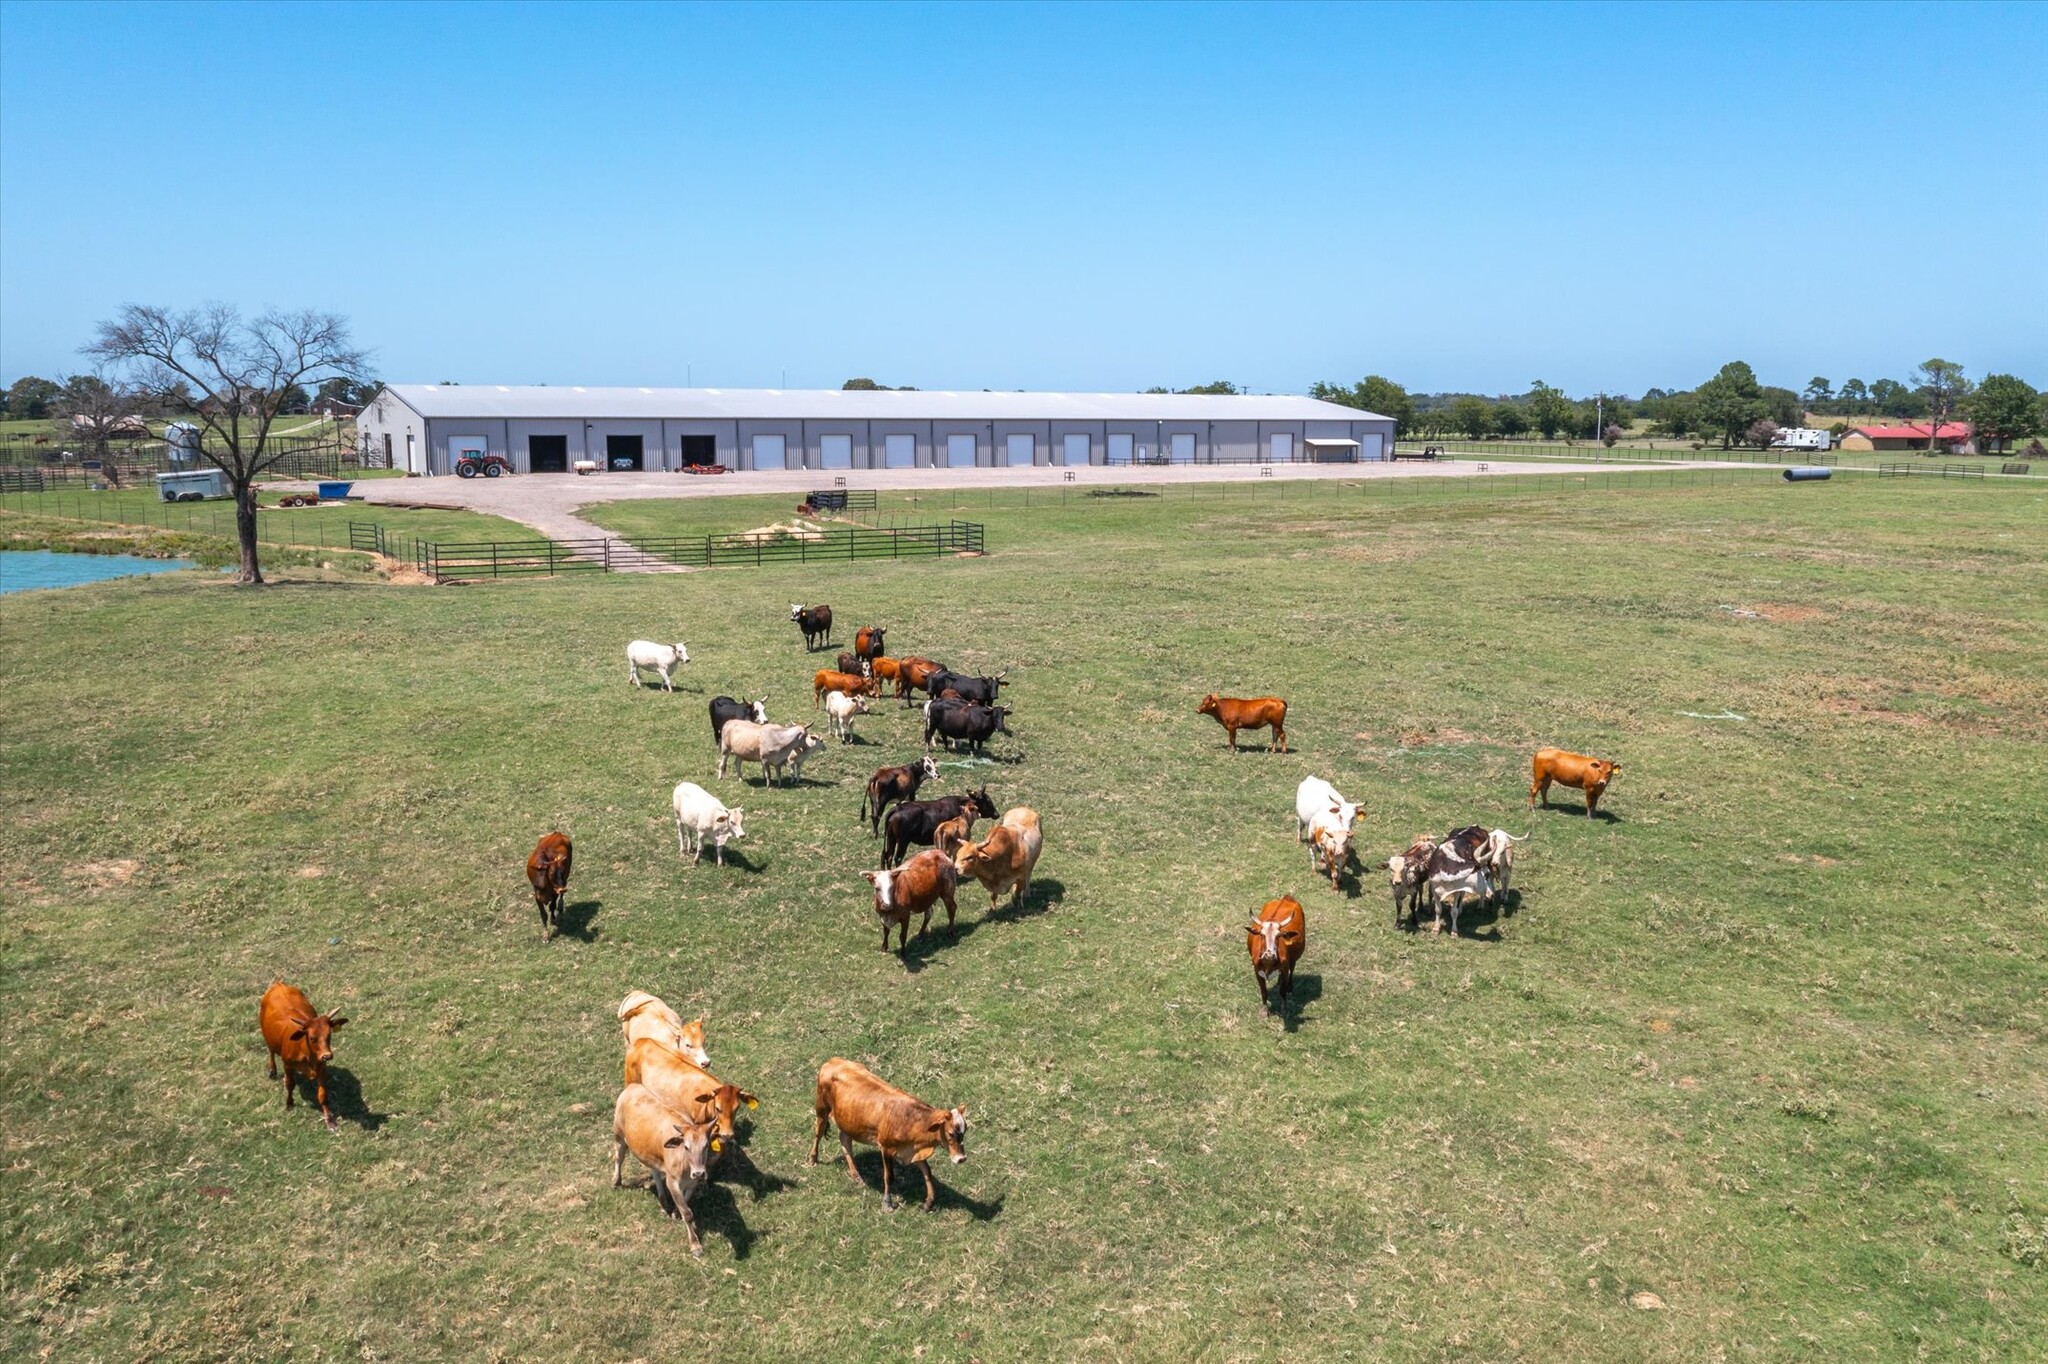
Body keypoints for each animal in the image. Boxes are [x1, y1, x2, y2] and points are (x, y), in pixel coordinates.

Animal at [258, 978, 350, 1122]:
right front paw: (289, 1103)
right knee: (271, 1052)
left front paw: (329, 1118)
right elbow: (290, 1084)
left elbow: (322, 1094)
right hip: (268, 1038)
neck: (306, 1055)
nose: (327, 1056)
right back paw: (272, 1070)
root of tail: (279, 984)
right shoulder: (287, 1065)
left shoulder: (321, 1067)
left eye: (329, 1035)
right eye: (312, 1038)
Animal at [606, 1081, 720, 1245]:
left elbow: (685, 1204)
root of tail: (633, 1086)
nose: (699, 1173)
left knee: (654, 1171)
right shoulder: (672, 1182)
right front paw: (694, 1244)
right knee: (618, 1158)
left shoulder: (693, 1183)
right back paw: (616, 1180)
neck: (685, 1165)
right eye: (686, 1147)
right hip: (619, 1136)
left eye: (706, 1146)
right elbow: (687, 1213)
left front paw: (675, 1212)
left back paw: (663, 1201)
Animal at [806, 1048, 966, 1212]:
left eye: (964, 1130)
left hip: (848, 1121)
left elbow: (927, 1171)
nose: (961, 1158)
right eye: (950, 1133)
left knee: (845, 1141)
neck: (910, 1119)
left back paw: (856, 1175)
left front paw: (929, 1202)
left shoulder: (912, 1149)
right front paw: (887, 1203)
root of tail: (833, 1061)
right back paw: (812, 1159)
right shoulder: (886, 1147)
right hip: (822, 1108)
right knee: (818, 1133)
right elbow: (889, 1176)